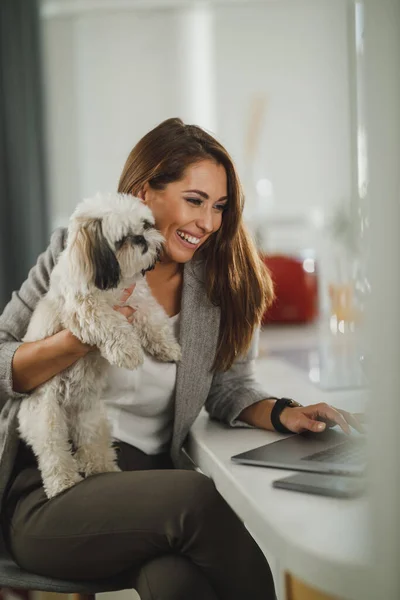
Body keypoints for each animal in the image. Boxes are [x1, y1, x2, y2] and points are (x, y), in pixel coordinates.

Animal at [18, 192, 181, 496]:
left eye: (145, 225)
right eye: (123, 239)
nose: (141, 239)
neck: (113, 282)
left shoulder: (138, 298)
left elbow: (153, 319)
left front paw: (167, 346)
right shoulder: (85, 309)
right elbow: (113, 324)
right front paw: (129, 351)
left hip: (91, 417)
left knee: (92, 446)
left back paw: (102, 468)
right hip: (47, 419)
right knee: (54, 454)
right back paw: (63, 483)